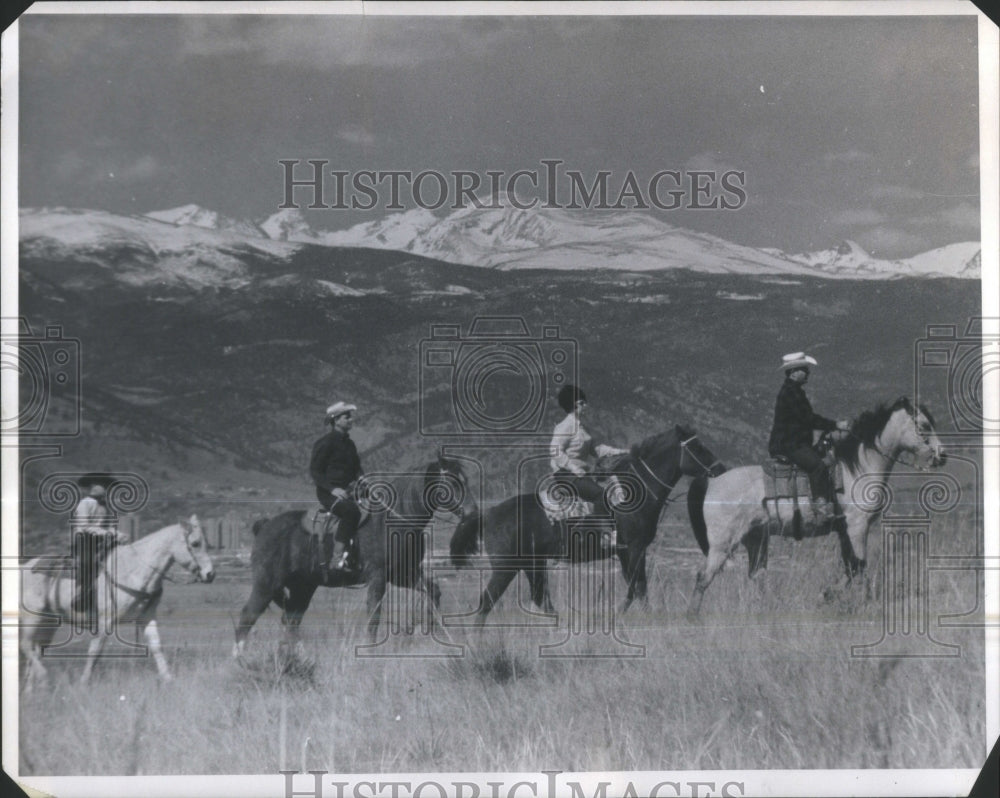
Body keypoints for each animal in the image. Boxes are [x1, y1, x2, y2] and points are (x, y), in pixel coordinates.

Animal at [20, 516, 215, 692]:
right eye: (195, 543)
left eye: (207, 544)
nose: (210, 574)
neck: (134, 570)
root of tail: (26, 567)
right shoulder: (105, 621)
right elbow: (95, 651)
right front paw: (84, 683)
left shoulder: (147, 617)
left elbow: (156, 646)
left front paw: (168, 679)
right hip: (33, 616)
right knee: (26, 644)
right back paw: (43, 678)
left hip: (49, 622)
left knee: (36, 649)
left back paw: (31, 689)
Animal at [234, 456, 476, 656]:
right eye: (453, 482)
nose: (471, 513)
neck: (397, 520)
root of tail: (265, 525)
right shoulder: (378, 576)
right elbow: (374, 614)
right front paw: (370, 650)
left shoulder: (403, 574)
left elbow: (434, 591)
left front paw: (434, 630)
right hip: (267, 584)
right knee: (247, 616)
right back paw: (240, 660)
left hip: (303, 587)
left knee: (291, 621)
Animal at [450, 428, 724, 628]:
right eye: (698, 447)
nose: (721, 468)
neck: (635, 494)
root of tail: (488, 514)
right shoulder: (634, 549)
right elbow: (639, 588)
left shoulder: (628, 552)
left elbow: (634, 588)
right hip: (506, 568)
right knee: (487, 600)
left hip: (532, 565)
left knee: (540, 599)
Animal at [688, 396, 944, 616]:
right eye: (924, 424)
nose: (942, 455)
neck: (857, 469)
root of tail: (712, 482)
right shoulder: (857, 527)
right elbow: (858, 566)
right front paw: (848, 600)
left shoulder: (844, 532)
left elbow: (850, 567)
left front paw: (828, 595)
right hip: (722, 543)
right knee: (703, 577)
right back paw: (693, 617)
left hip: (755, 539)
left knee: (756, 576)